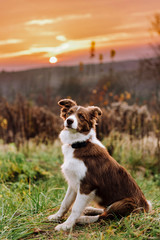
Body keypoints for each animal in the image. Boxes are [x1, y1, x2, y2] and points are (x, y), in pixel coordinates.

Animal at [48, 99, 152, 231]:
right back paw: (90, 209)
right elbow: (65, 203)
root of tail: (146, 207)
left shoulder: (87, 185)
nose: (69, 121)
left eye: (81, 116)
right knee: (104, 211)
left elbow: (75, 208)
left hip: (125, 203)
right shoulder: (73, 182)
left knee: (105, 216)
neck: (80, 143)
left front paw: (66, 225)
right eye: (69, 113)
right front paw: (56, 217)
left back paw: (82, 219)